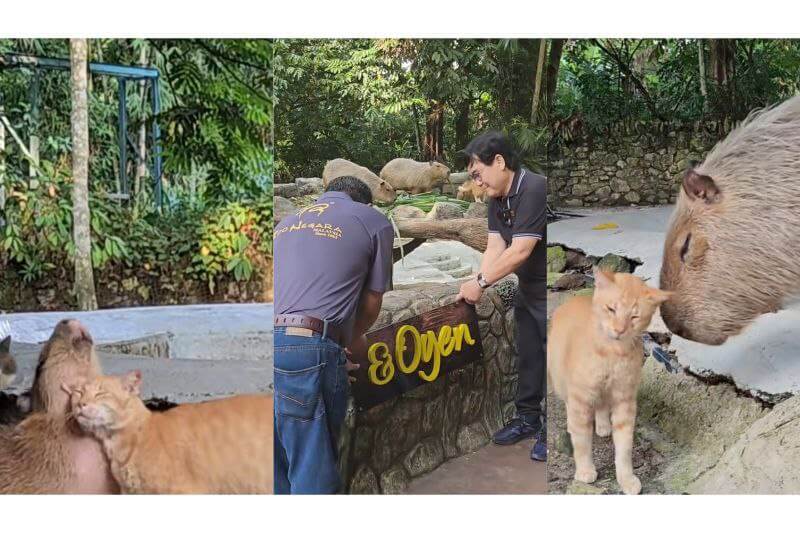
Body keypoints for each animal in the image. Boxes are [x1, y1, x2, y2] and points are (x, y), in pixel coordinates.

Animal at [552, 268, 668, 492]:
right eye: (611, 309)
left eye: (634, 316)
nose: (619, 330)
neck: (612, 354)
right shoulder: (580, 397)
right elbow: (582, 442)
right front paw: (585, 470)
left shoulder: (625, 399)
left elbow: (624, 448)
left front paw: (626, 478)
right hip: (561, 380)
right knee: (570, 406)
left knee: (602, 406)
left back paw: (604, 425)